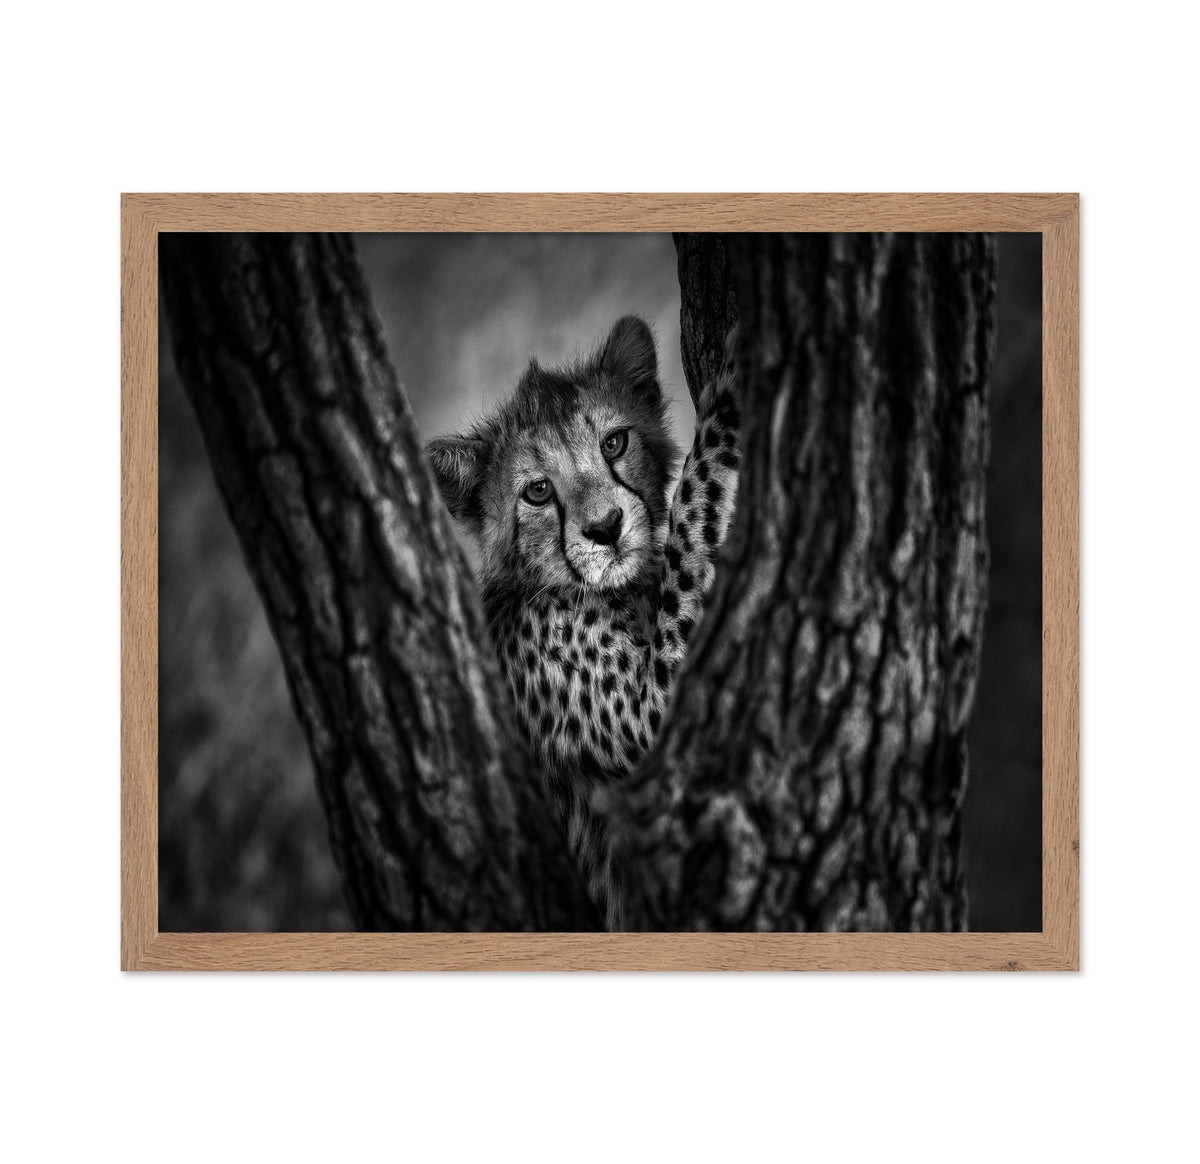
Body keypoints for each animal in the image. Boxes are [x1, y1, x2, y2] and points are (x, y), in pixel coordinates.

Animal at [426, 315, 740, 928]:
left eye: (613, 443)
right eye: (537, 490)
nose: (606, 527)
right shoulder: (655, 727)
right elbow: (693, 510)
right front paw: (730, 396)